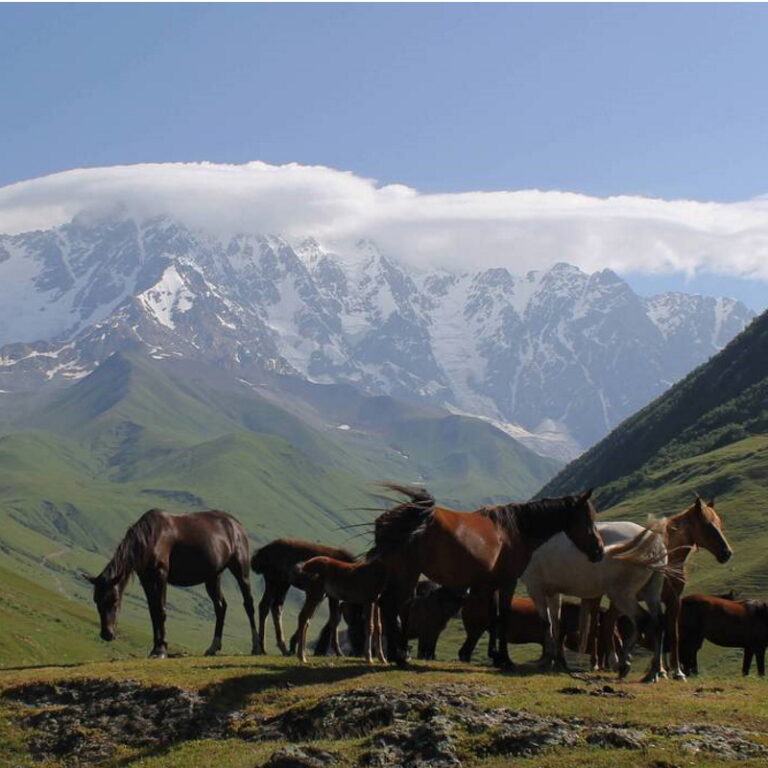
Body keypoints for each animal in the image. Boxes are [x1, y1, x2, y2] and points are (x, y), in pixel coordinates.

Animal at [85, 508, 256, 656]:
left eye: (114, 600)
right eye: (96, 600)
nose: (106, 634)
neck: (152, 537)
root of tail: (236, 525)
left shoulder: (161, 575)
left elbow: (161, 610)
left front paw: (161, 649)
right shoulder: (146, 579)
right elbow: (153, 611)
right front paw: (156, 647)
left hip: (241, 570)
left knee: (248, 604)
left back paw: (256, 647)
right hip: (213, 576)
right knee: (220, 607)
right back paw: (213, 648)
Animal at [520, 520, 672, 680]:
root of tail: (652, 542)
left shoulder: (535, 589)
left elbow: (546, 624)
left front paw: (548, 661)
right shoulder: (553, 593)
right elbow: (556, 624)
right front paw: (557, 660)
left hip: (621, 595)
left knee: (641, 620)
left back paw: (625, 663)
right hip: (651, 592)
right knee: (658, 623)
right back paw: (655, 671)